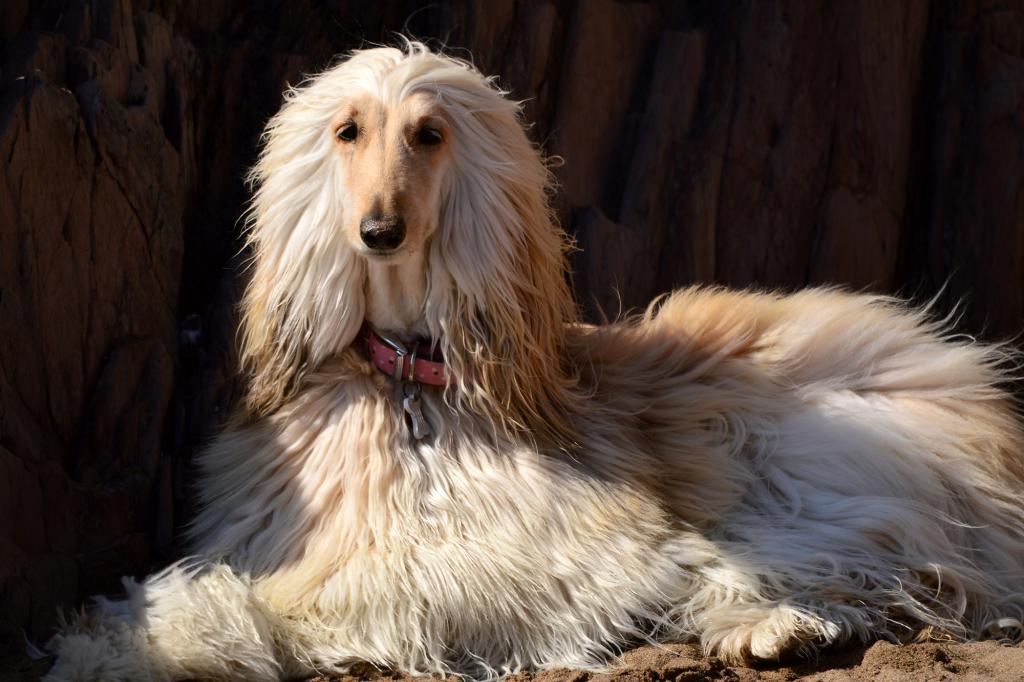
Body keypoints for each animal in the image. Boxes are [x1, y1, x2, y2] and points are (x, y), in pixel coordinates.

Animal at [44, 42, 1024, 679]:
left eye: (428, 134)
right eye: (347, 131)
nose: (377, 231)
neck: (416, 384)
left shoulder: (573, 548)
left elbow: (353, 590)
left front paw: (159, 635)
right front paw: (124, 632)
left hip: (797, 445)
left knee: (875, 558)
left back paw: (775, 624)